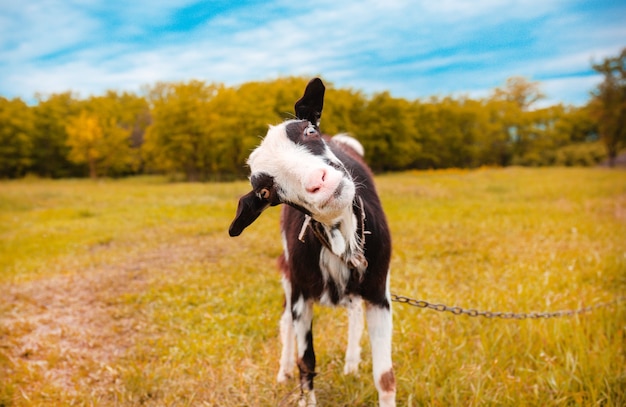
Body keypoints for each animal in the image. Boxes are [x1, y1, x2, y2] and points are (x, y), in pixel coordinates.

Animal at [229, 78, 394, 406]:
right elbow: (306, 362)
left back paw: (351, 364)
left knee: (354, 312)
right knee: (285, 322)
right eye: (265, 192)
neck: (339, 239)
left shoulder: (379, 291)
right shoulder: (301, 296)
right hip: (288, 277)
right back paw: (283, 372)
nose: (319, 182)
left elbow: (385, 377)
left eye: (309, 131)